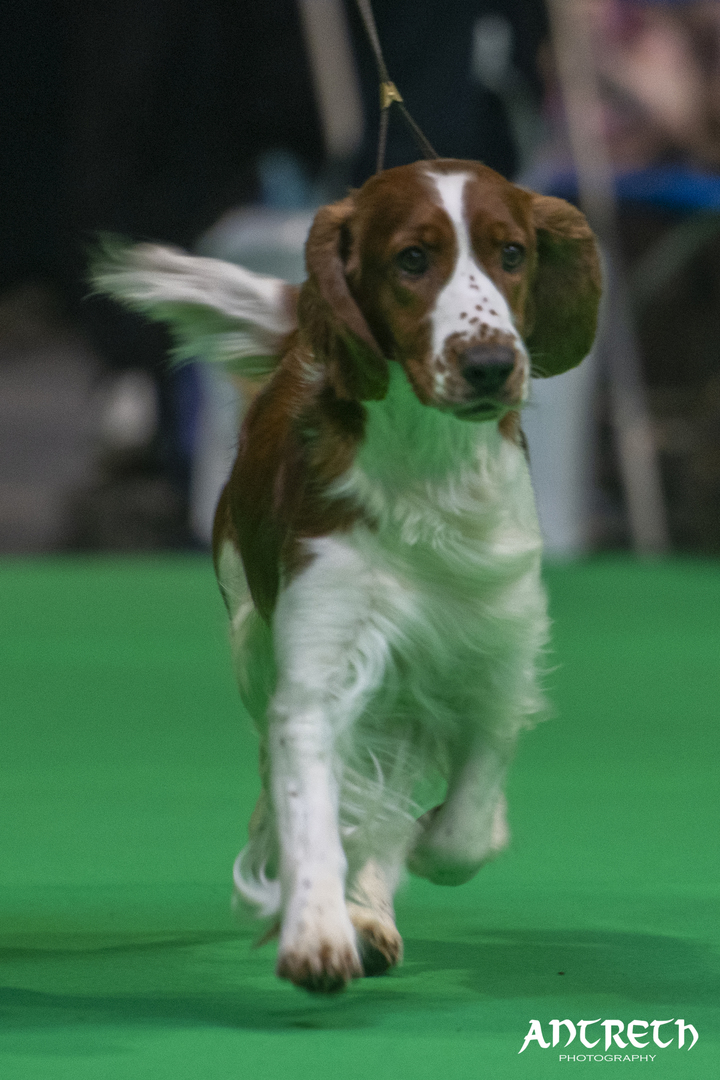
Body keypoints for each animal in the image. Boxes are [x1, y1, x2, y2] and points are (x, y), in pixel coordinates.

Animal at [94, 158, 601, 994]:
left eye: (513, 252)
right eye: (412, 259)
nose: (491, 365)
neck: (429, 474)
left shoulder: (494, 655)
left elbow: (460, 827)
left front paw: (434, 841)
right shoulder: (319, 670)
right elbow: (314, 808)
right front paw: (318, 932)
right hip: (255, 641)